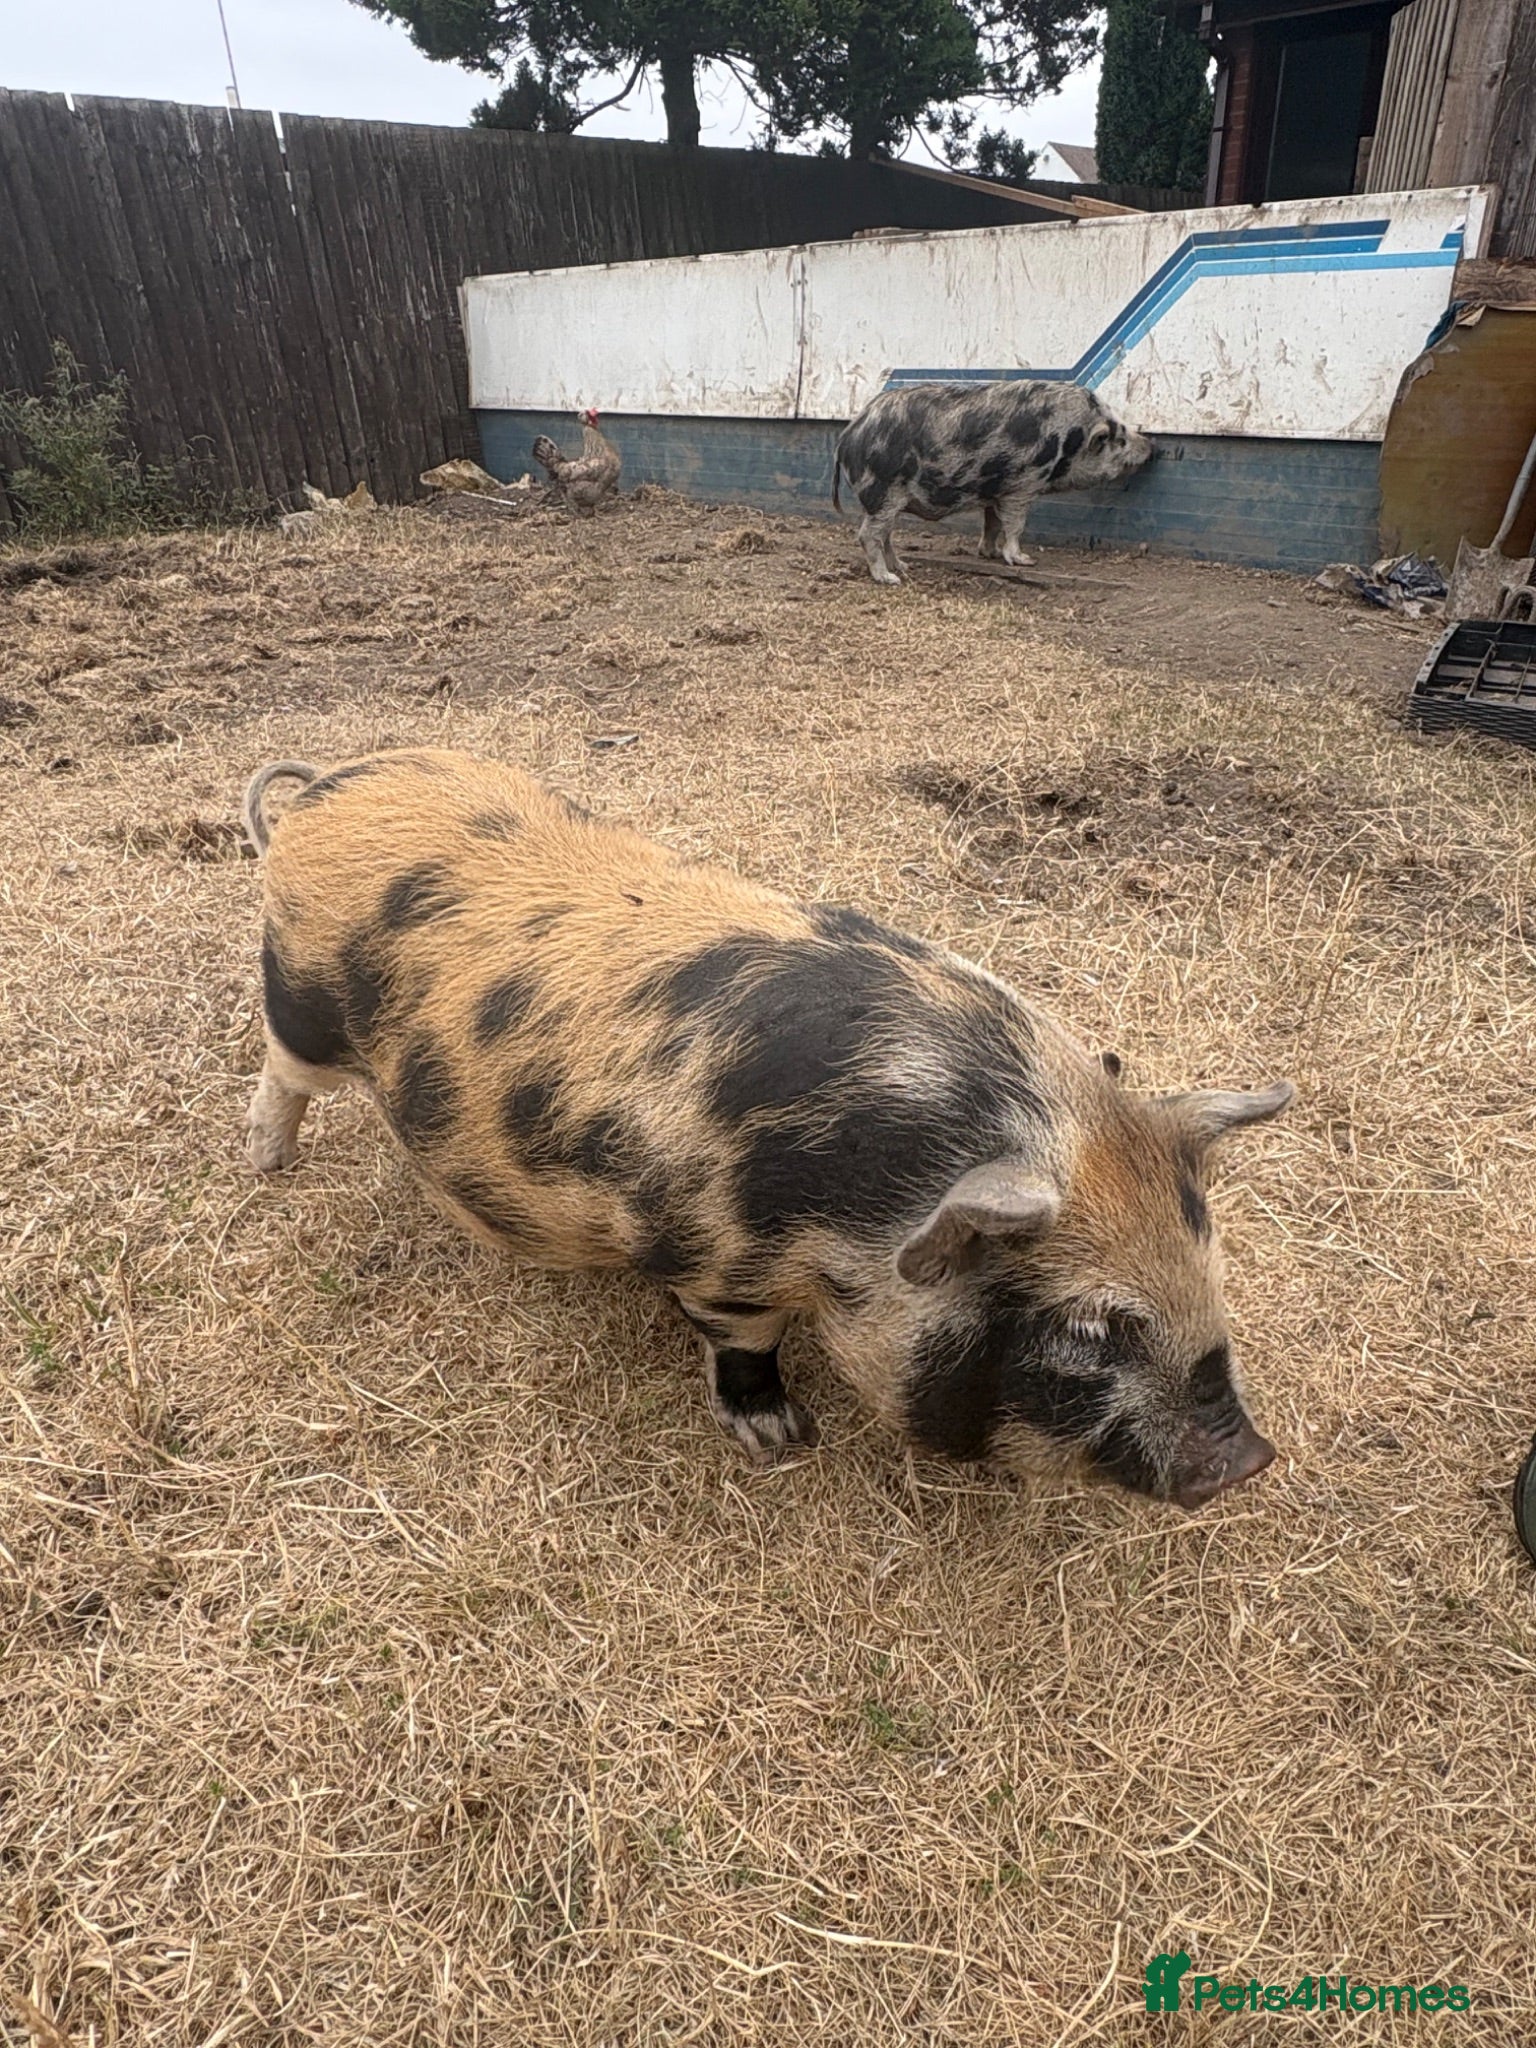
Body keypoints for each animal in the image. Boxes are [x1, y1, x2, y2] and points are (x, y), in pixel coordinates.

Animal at [242, 748, 1291, 1510]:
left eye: (1210, 1273)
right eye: (1089, 1329)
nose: (1249, 1458)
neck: (867, 1197)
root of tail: (326, 791)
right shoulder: (716, 1260)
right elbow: (746, 1344)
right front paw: (780, 1440)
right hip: (300, 1003)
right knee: (279, 1069)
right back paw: (266, 1165)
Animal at [833, 378, 1154, 585]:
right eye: (1120, 438)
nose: (1151, 445)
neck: (1070, 438)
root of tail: (848, 435)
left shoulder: (995, 491)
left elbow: (993, 523)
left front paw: (991, 554)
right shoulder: (1023, 484)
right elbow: (1015, 525)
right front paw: (1024, 560)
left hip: (890, 499)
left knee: (885, 533)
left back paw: (903, 566)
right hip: (882, 490)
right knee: (867, 534)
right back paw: (888, 579)